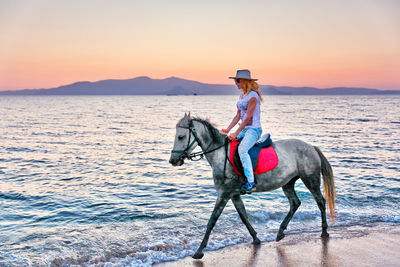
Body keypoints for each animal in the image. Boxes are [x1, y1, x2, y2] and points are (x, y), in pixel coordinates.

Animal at [169, 114, 334, 260]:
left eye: (181, 137)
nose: (173, 160)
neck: (220, 154)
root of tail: (311, 147)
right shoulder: (234, 194)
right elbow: (243, 215)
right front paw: (255, 238)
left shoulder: (224, 194)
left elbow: (212, 221)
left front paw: (199, 251)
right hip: (288, 183)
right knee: (295, 203)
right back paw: (280, 232)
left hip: (310, 180)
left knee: (320, 201)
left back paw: (324, 231)